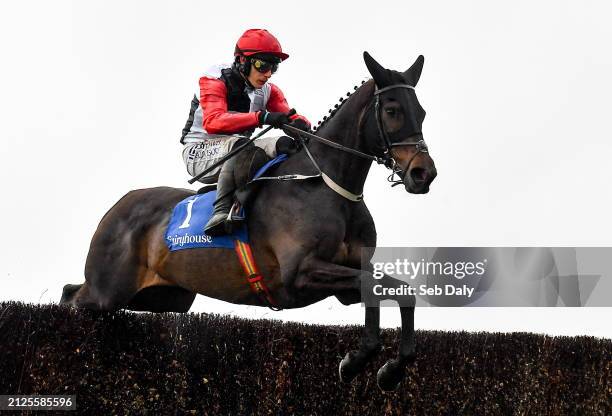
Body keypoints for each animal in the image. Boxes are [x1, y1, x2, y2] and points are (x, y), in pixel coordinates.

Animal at [59, 52, 438, 390]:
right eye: (392, 110)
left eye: (421, 111)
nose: (424, 174)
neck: (326, 184)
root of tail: (116, 207)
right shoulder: (300, 273)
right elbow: (372, 288)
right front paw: (355, 362)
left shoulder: (347, 278)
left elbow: (400, 292)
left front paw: (388, 370)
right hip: (107, 291)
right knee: (72, 298)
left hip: (164, 298)